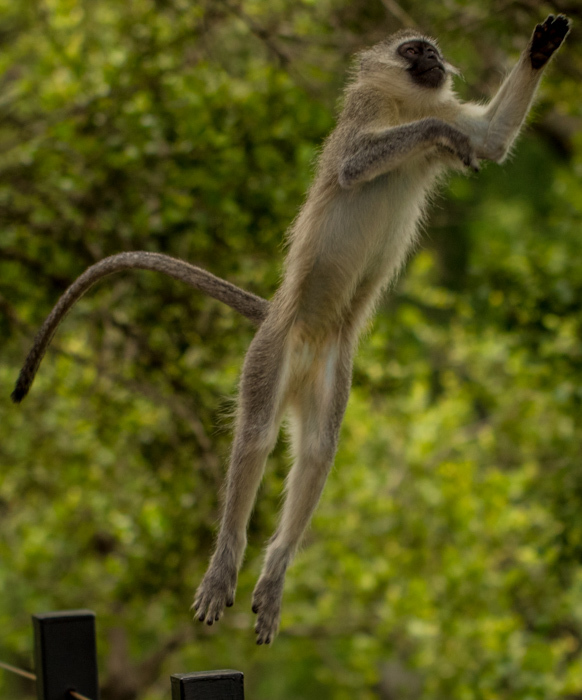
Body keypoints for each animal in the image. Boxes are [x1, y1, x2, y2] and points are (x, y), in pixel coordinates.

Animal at [11, 15, 572, 644]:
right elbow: (358, 161)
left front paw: (543, 45)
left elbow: (491, 138)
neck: (404, 105)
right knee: (255, 435)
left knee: (318, 453)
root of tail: (292, 325)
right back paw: (226, 562)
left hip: (331, 368)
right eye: (413, 50)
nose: (433, 61)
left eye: (432, 50)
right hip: (271, 351)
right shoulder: (365, 118)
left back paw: (275, 572)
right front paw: (438, 133)